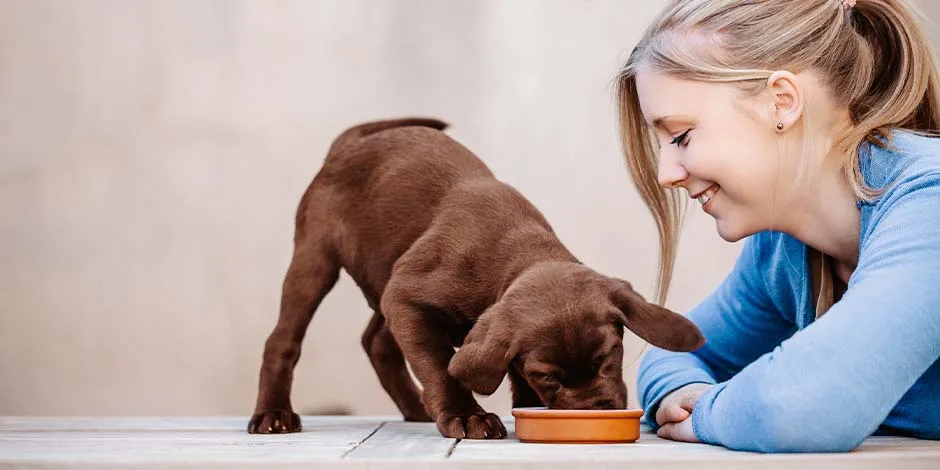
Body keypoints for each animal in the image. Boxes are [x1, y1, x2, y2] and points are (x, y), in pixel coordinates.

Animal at [250, 118, 704, 440]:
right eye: (549, 377)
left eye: (609, 357)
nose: (596, 410)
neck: (517, 252)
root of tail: (348, 144)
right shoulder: (408, 298)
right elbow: (439, 365)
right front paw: (466, 415)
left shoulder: (407, 298)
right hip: (315, 258)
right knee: (283, 339)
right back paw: (273, 414)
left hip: (384, 269)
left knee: (376, 340)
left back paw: (415, 407)